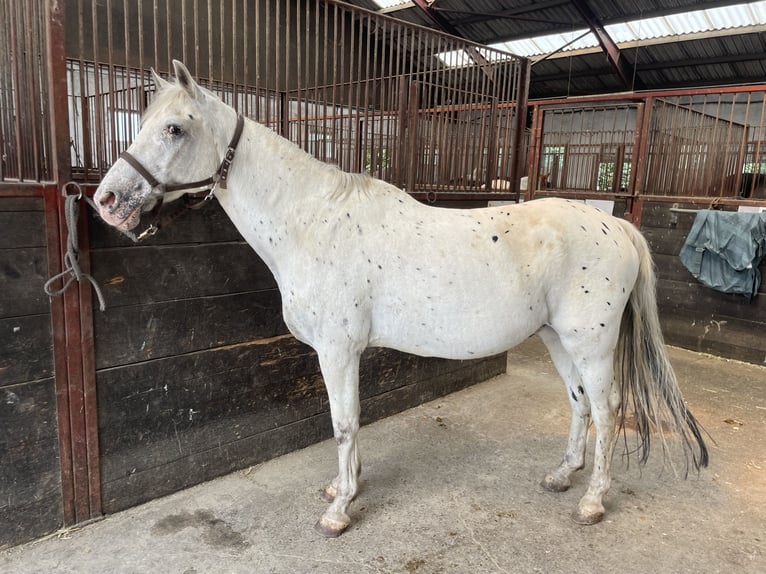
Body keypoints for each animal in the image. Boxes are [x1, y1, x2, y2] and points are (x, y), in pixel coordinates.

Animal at [94, 63, 708, 540]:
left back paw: (592, 501)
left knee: (607, 411)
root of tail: (615, 225)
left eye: (174, 128)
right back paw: (563, 477)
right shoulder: (346, 353)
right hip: (558, 339)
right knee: (580, 405)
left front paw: (340, 511)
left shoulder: (337, 350)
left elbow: (343, 423)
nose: (108, 201)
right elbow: (351, 422)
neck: (311, 222)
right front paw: (345, 486)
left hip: (592, 344)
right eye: (142, 122)